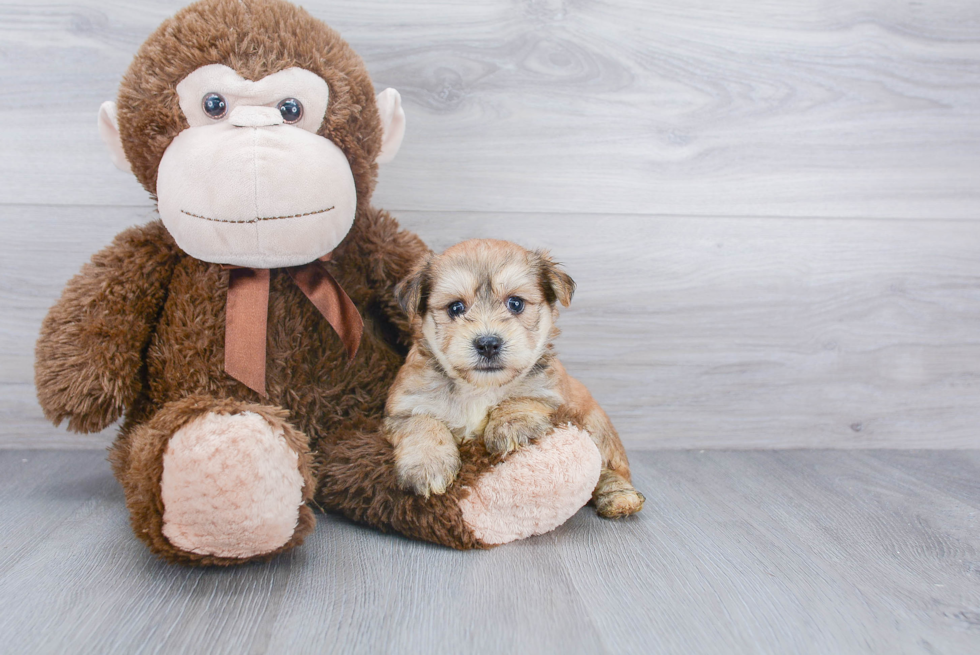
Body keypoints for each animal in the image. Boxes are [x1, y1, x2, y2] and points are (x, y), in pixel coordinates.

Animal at [386, 238, 648, 520]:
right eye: (456, 308)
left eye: (515, 303)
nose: (488, 344)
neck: (479, 388)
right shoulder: (404, 406)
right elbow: (422, 423)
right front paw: (427, 464)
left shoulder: (550, 392)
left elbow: (523, 397)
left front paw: (512, 424)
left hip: (596, 423)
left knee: (608, 468)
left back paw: (620, 497)